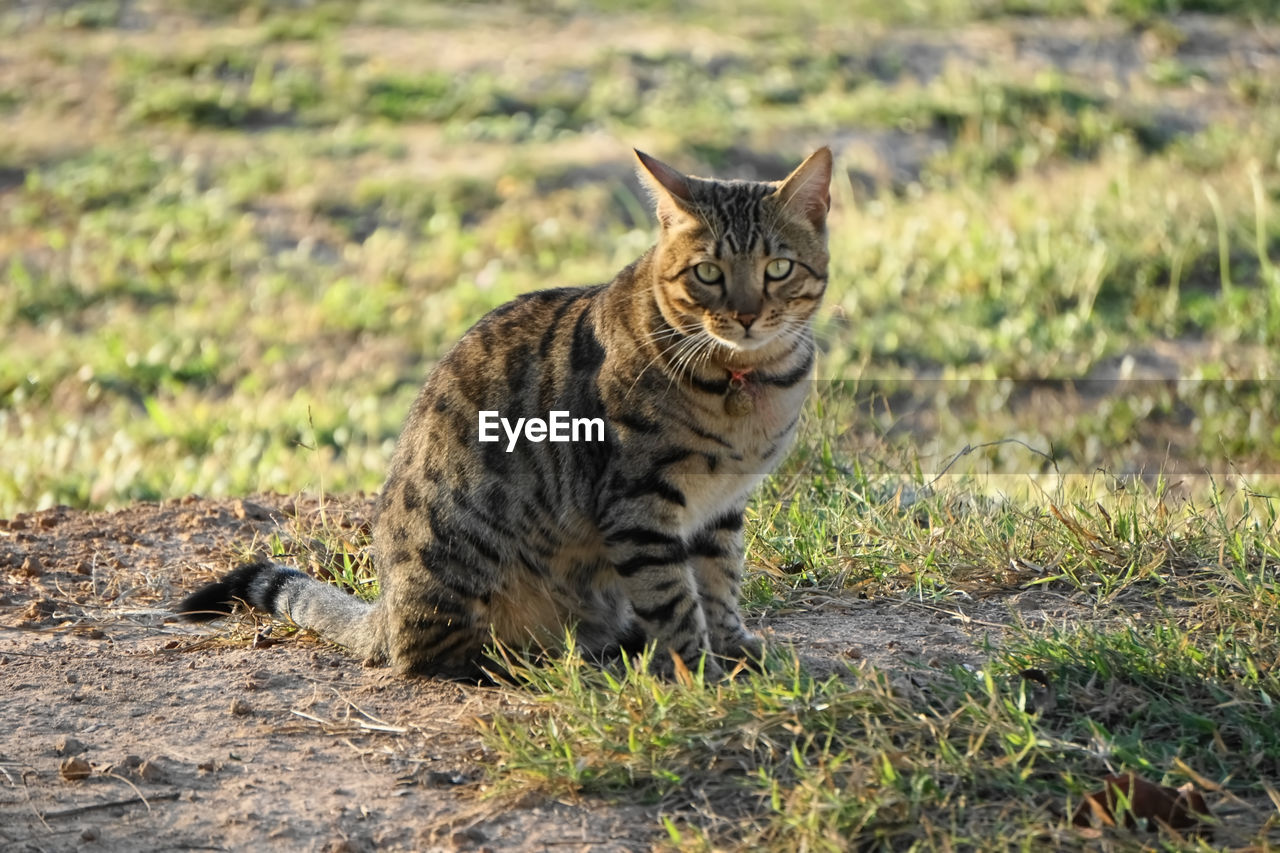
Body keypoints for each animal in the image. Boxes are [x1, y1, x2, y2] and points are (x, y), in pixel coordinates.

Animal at [180, 144, 834, 676]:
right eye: (707, 273)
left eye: (778, 268)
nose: (746, 315)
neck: (746, 381)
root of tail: (384, 610)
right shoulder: (640, 503)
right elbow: (674, 598)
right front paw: (699, 669)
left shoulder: (720, 508)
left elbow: (719, 582)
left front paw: (733, 648)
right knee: (429, 655)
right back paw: (537, 662)